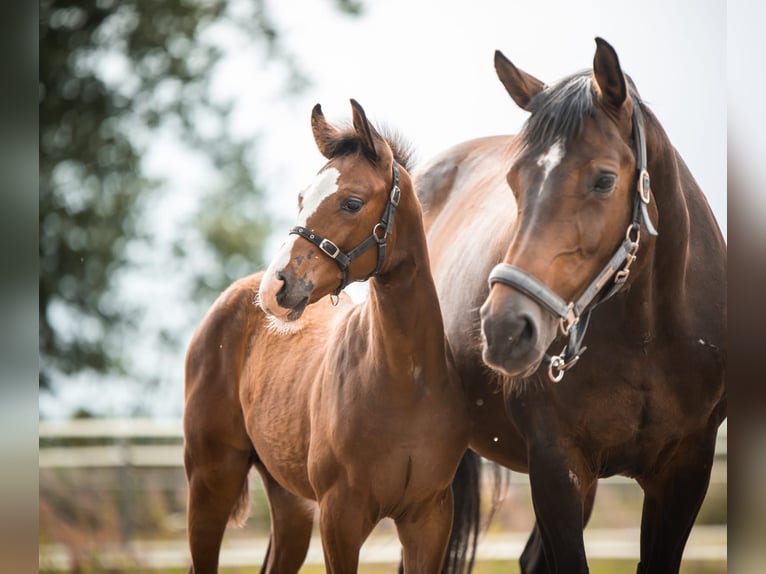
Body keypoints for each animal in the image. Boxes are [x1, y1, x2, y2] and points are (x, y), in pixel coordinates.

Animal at [184, 100, 480, 574]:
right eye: (302, 197)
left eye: (352, 202)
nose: (276, 287)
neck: (406, 381)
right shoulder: (341, 517)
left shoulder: (429, 518)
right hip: (211, 481)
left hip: (289, 502)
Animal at [416, 38, 728, 572]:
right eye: (514, 181)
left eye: (603, 180)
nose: (504, 329)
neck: (647, 337)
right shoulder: (556, 467)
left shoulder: (688, 469)